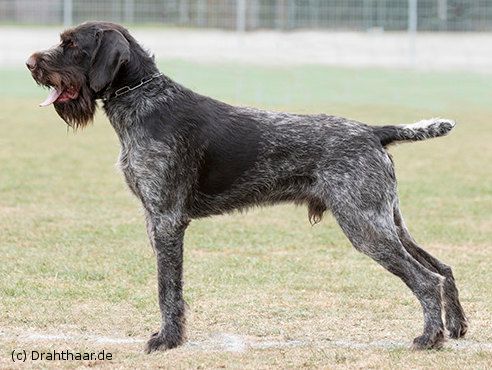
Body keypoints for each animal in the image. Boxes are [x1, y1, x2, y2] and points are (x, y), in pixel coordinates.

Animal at [26, 21, 466, 352]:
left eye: (71, 44)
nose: (30, 62)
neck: (143, 100)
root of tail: (374, 131)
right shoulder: (154, 219)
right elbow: (170, 287)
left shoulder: (166, 219)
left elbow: (167, 288)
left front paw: (167, 340)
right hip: (387, 219)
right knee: (442, 268)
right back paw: (457, 327)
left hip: (365, 226)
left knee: (426, 279)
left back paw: (430, 337)